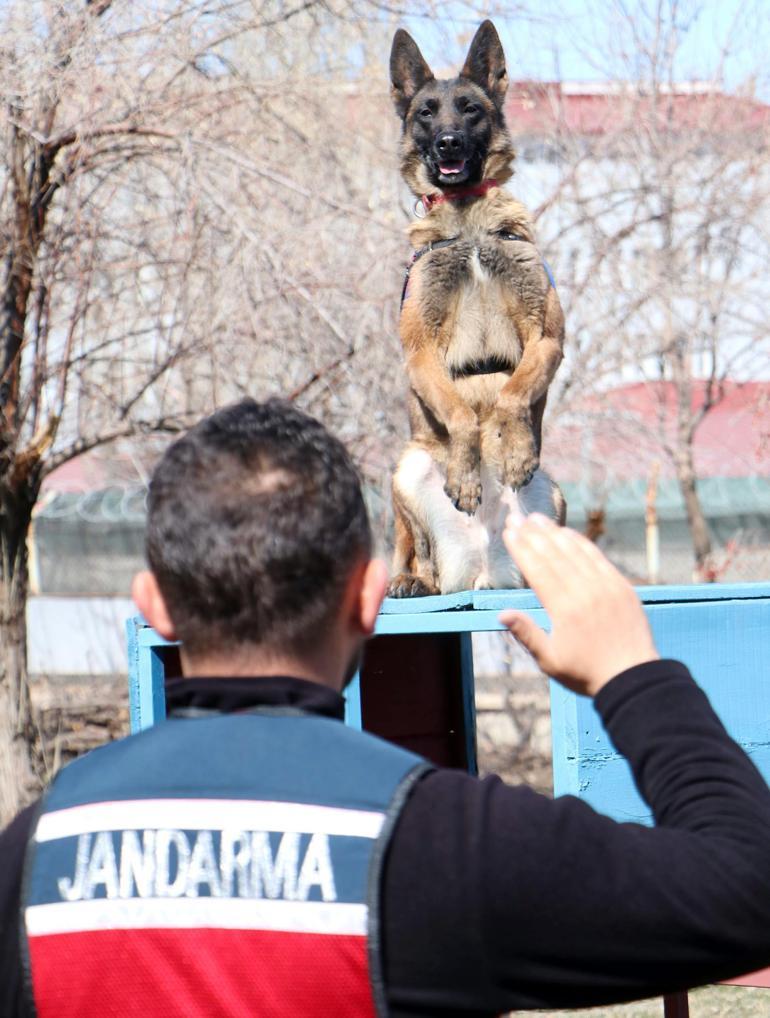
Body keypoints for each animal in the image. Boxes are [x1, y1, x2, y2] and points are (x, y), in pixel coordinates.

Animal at [391, 19, 566, 594]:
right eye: (427, 112)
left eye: (469, 108)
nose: (448, 142)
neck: (468, 224)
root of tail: (482, 573)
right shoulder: (421, 353)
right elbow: (461, 414)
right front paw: (468, 476)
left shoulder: (546, 338)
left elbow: (511, 394)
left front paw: (513, 453)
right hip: (406, 469)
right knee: (416, 552)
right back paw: (412, 581)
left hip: (553, 495)